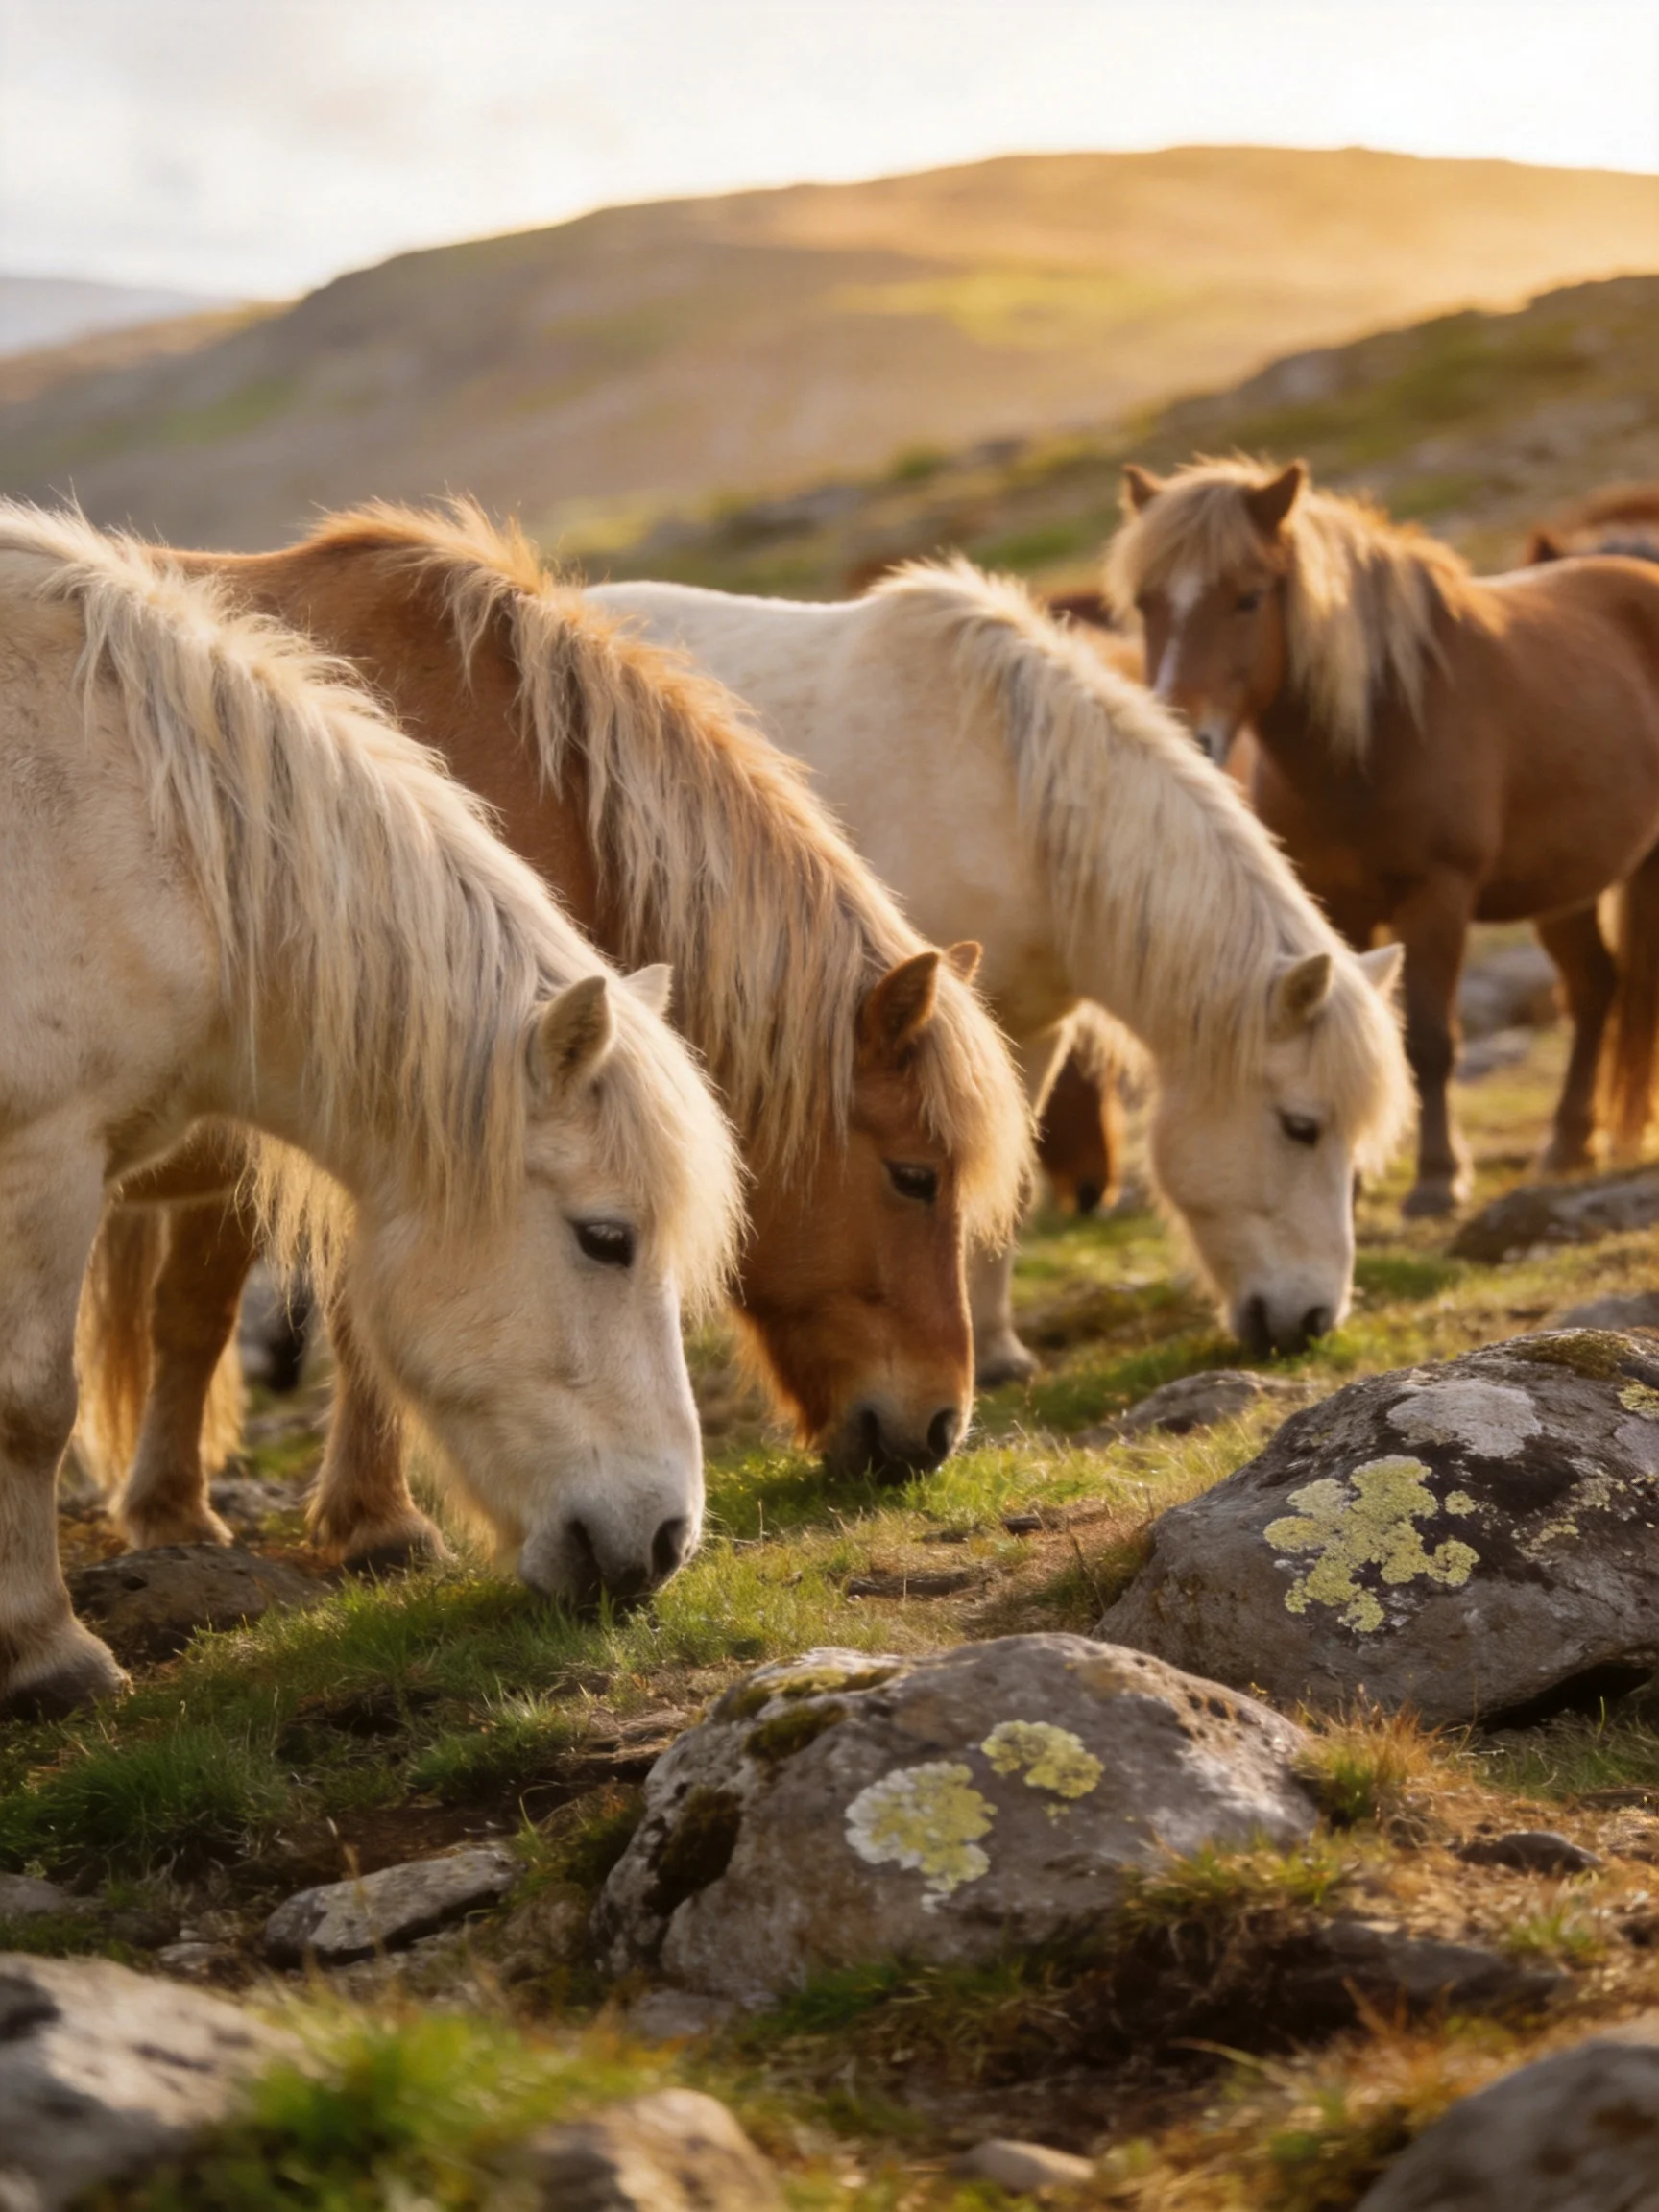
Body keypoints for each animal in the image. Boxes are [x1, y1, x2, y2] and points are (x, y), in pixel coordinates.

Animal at [0, 504, 743, 1717]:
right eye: (606, 1239)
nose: (667, 1542)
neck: (136, 833)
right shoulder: (44, 1157)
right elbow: (30, 1405)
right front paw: (46, 1652)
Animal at [589, 561, 1411, 1375]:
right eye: (1301, 1127)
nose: (1314, 1321)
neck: (1011, 806)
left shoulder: (1028, 1035)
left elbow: (1004, 1194)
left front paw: (998, 1352)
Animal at [1106, 455, 1659, 1215]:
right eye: (1147, 603)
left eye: (1248, 598)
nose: (1188, 735)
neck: (1378, 730)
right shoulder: (1339, 905)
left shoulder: (1437, 898)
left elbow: (1428, 1039)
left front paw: (1437, 1179)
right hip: (1563, 884)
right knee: (1595, 988)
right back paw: (1569, 1144)